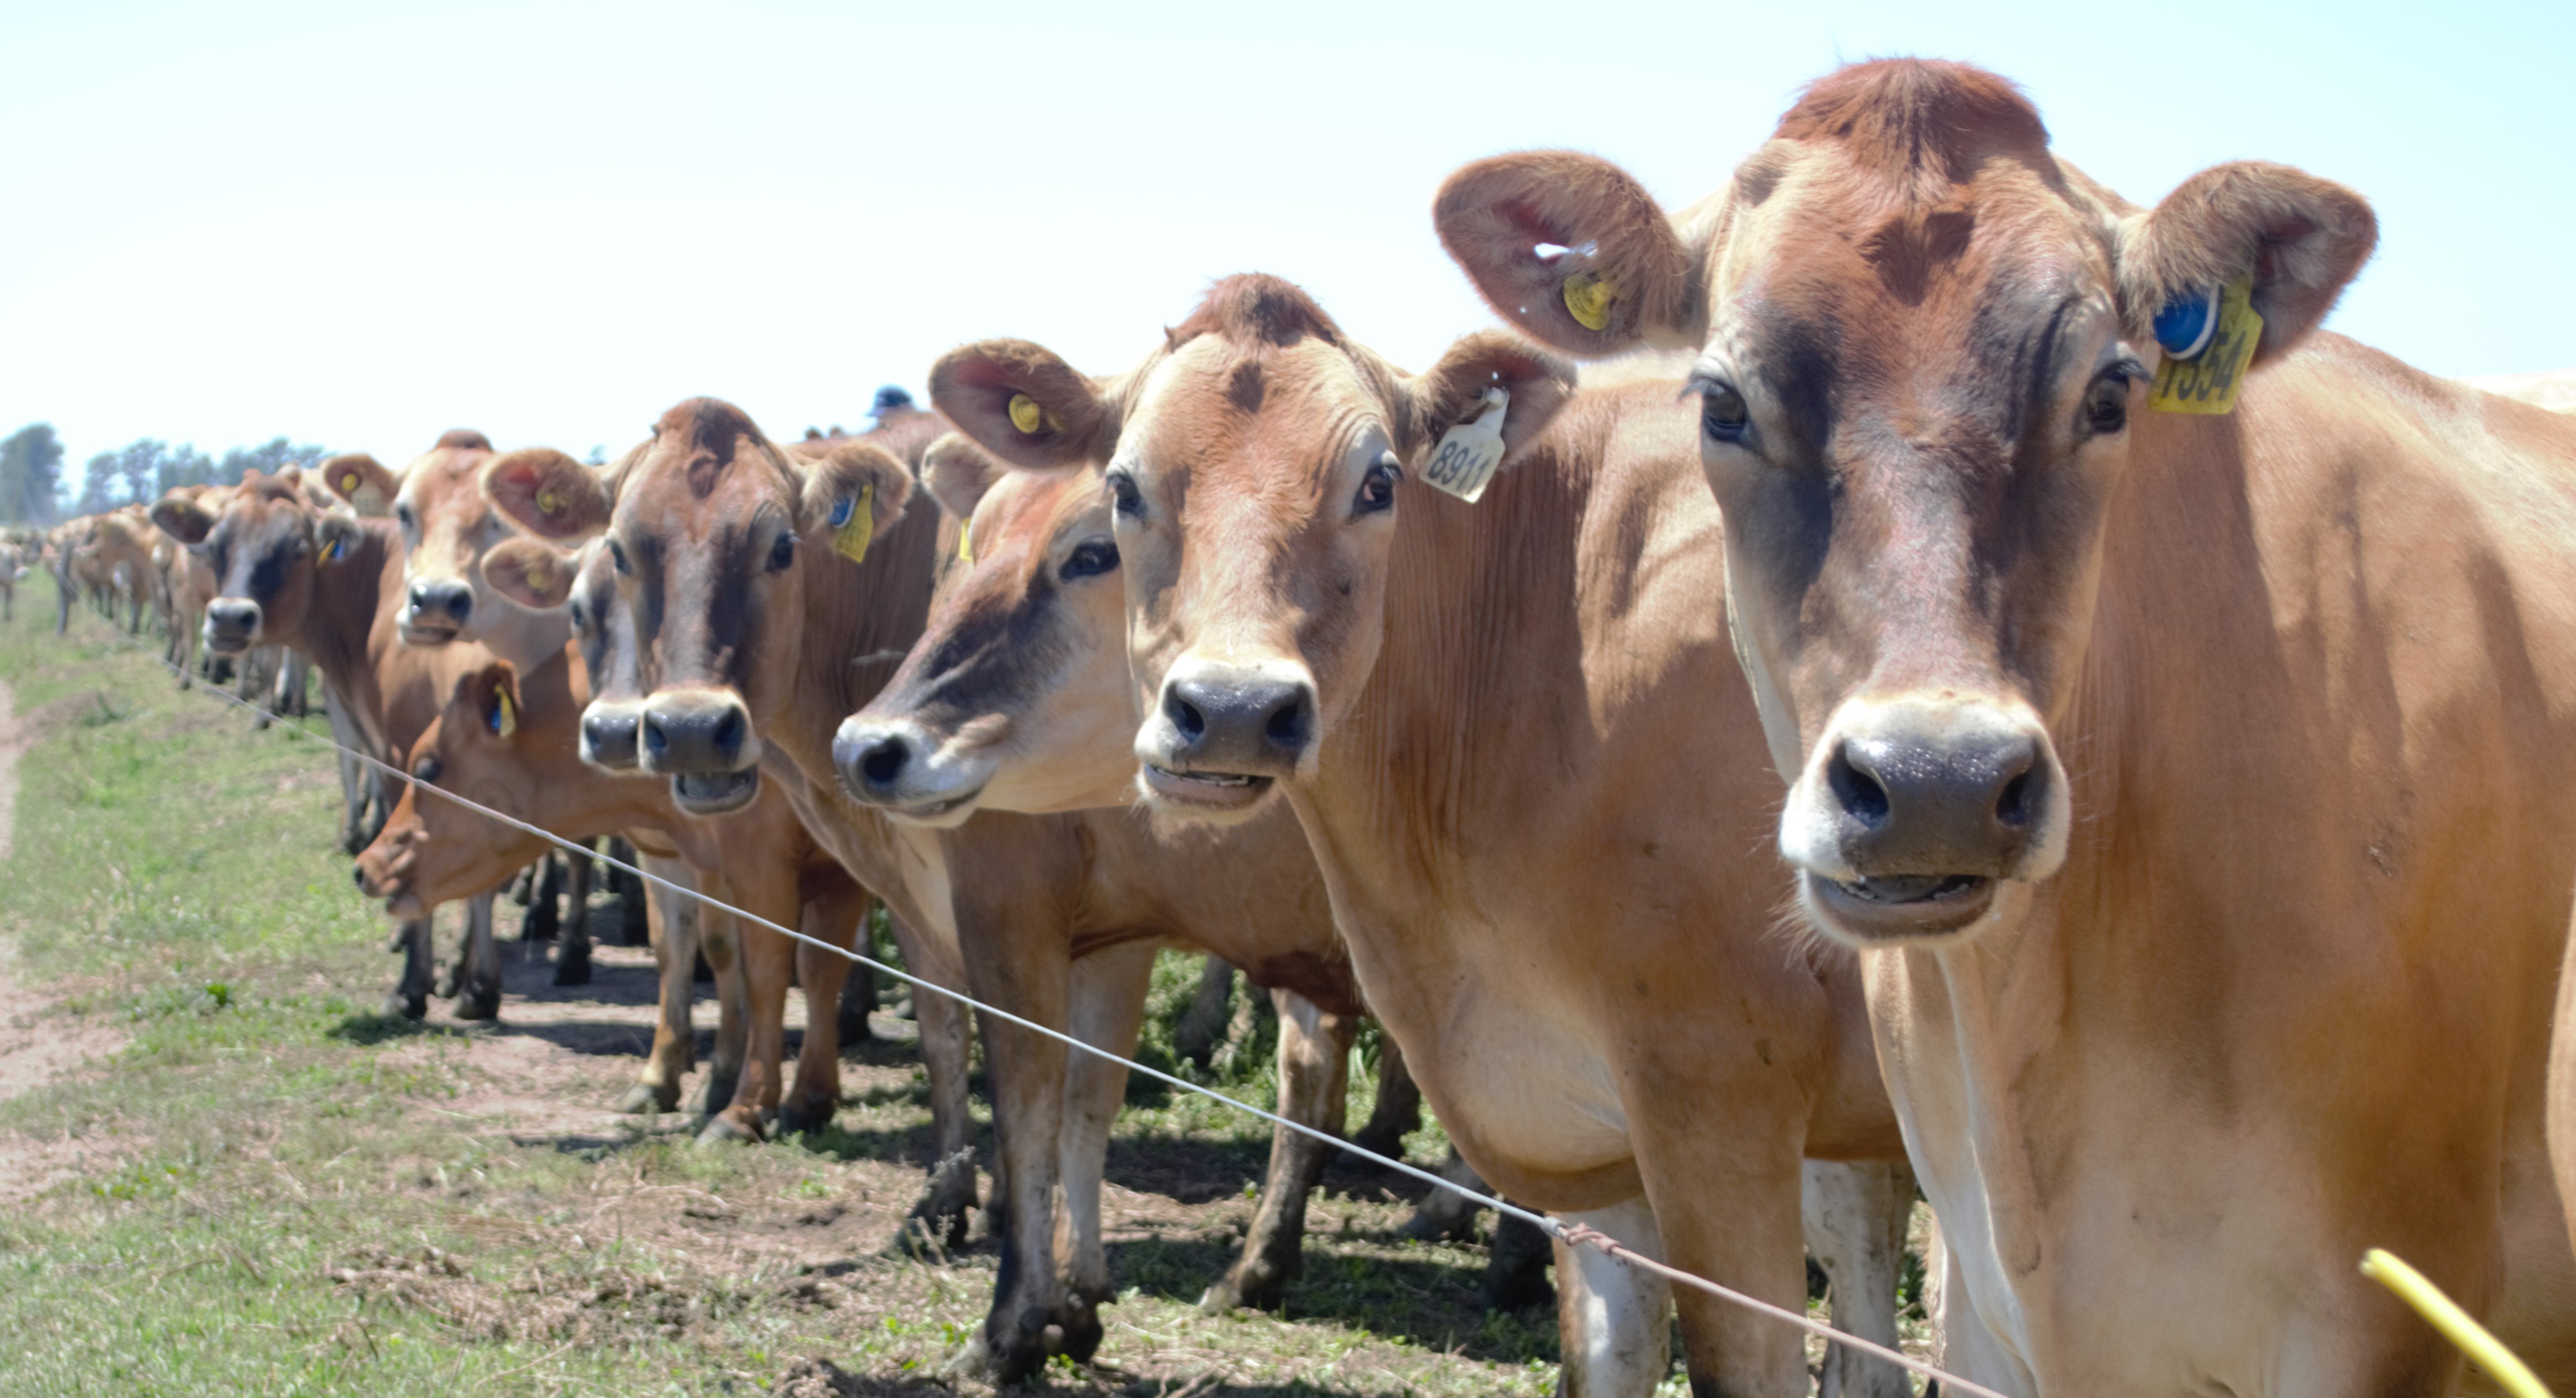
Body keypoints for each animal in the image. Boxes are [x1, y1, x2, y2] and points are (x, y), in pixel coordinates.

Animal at [937, 284, 1927, 1398]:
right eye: (1122, 486)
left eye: (1379, 482)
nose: (1232, 710)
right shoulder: (1577, 1135)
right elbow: (1608, 1358)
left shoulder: (1720, 1111)